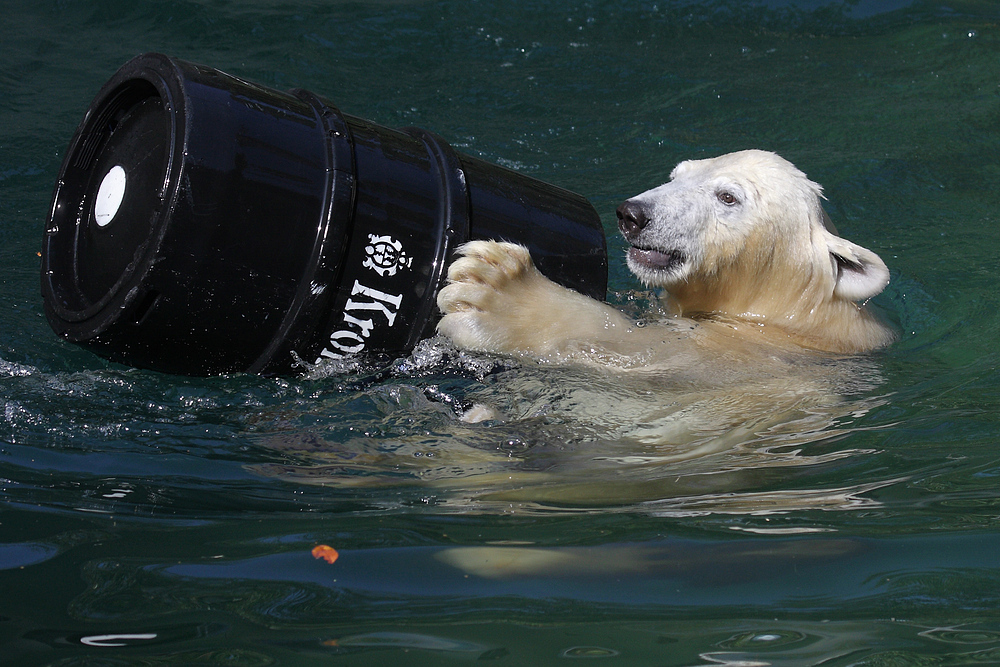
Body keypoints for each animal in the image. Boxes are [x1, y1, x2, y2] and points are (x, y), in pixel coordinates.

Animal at [434, 149, 896, 368]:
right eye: (677, 175)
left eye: (727, 196)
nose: (632, 214)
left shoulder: (743, 355)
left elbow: (639, 349)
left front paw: (494, 291)